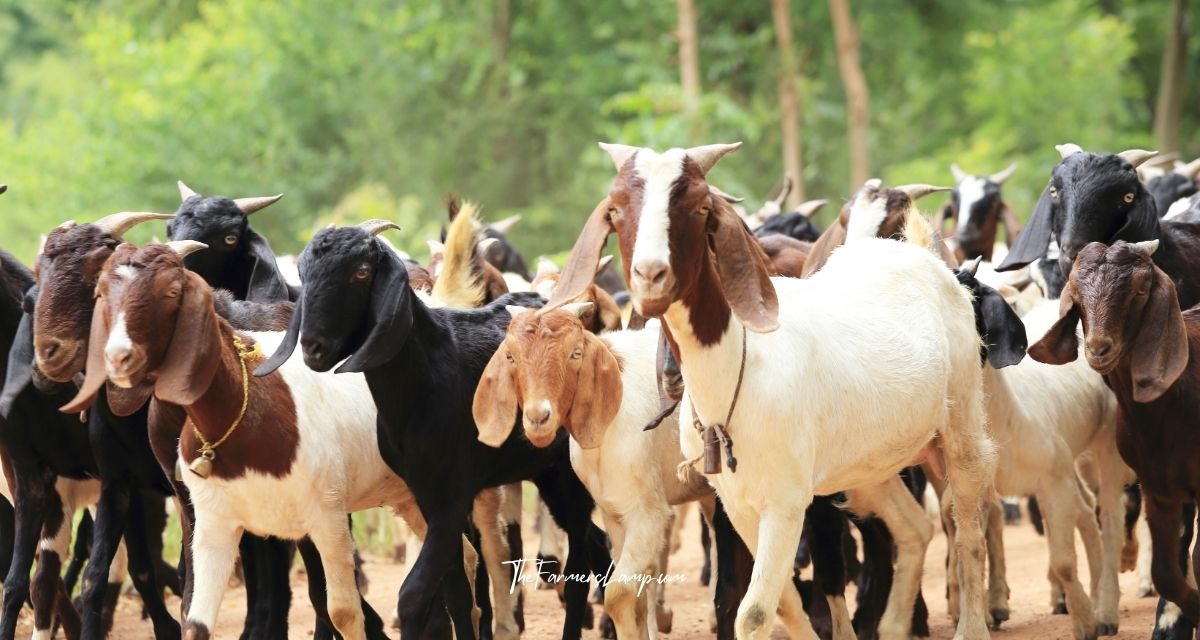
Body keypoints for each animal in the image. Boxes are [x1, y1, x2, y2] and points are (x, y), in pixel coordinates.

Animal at [256, 219, 615, 640]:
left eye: (361, 271)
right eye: (303, 272)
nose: (313, 347)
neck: (425, 374)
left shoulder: (453, 495)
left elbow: (414, 594)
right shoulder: (425, 493)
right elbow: (456, 590)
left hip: (570, 474)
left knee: (579, 564)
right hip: (547, 473)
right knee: (596, 544)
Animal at [549, 142, 995, 640]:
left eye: (700, 206)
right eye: (616, 209)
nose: (651, 276)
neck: (735, 375)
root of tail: (920, 257)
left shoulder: (786, 502)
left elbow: (756, 611)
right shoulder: (737, 504)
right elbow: (781, 600)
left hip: (961, 427)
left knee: (968, 527)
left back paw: (971, 625)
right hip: (871, 463)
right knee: (914, 528)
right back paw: (895, 625)